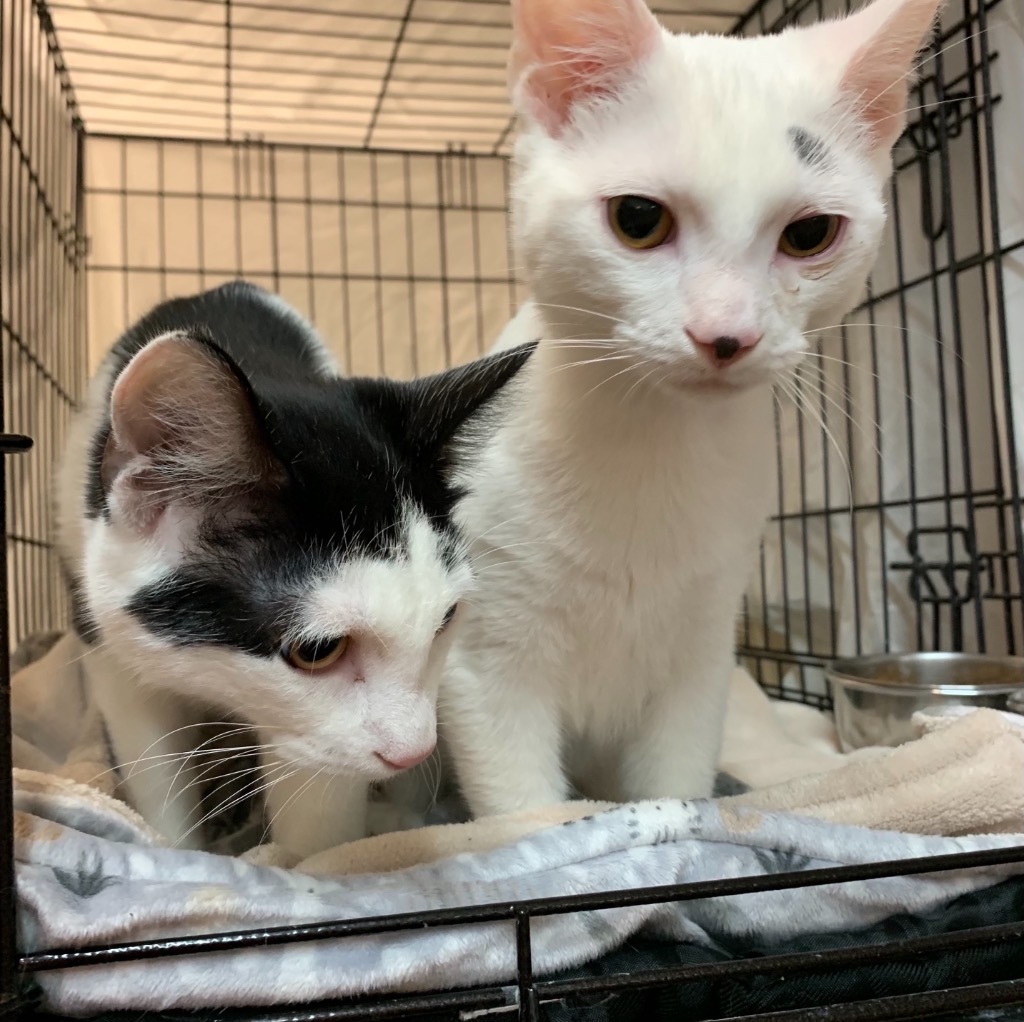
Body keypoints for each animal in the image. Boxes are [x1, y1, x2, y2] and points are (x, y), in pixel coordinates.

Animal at [56, 282, 532, 864]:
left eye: (447, 619)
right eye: (318, 650)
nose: (413, 752)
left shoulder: (318, 736)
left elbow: (318, 810)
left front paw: (314, 865)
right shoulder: (114, 651)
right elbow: (155, 769)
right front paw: (179, 850)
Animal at [442, 0, 942, 819]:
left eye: (810, 233)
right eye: (638, 218)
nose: (725, 334)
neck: (653, 447)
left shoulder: (702, 657)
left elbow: (674, 781)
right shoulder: (486, 659)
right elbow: (527, 811)